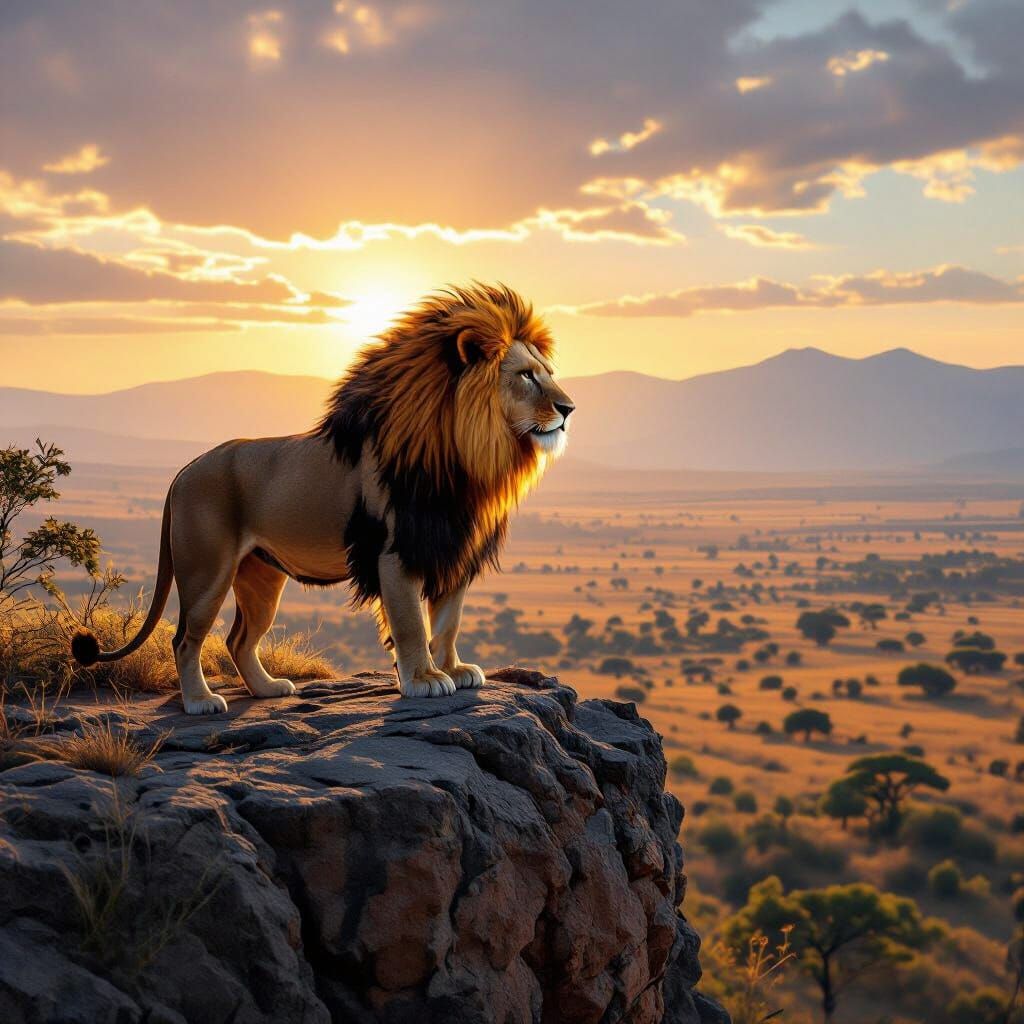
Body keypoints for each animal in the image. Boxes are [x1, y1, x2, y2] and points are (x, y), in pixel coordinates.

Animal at [71, 284, 574, 714]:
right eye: (526, 376)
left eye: (549, 374)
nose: (569, 409)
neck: (469, 459)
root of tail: (183, 471)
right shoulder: (394, 552)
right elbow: (412, 623)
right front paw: (424, 679)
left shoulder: (451, 549)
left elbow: (448, 622)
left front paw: (454, 669)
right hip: (206, 571)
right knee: (186, 640)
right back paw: (200, 701)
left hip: (260, 577)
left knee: (239, 639)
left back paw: (267, 689)